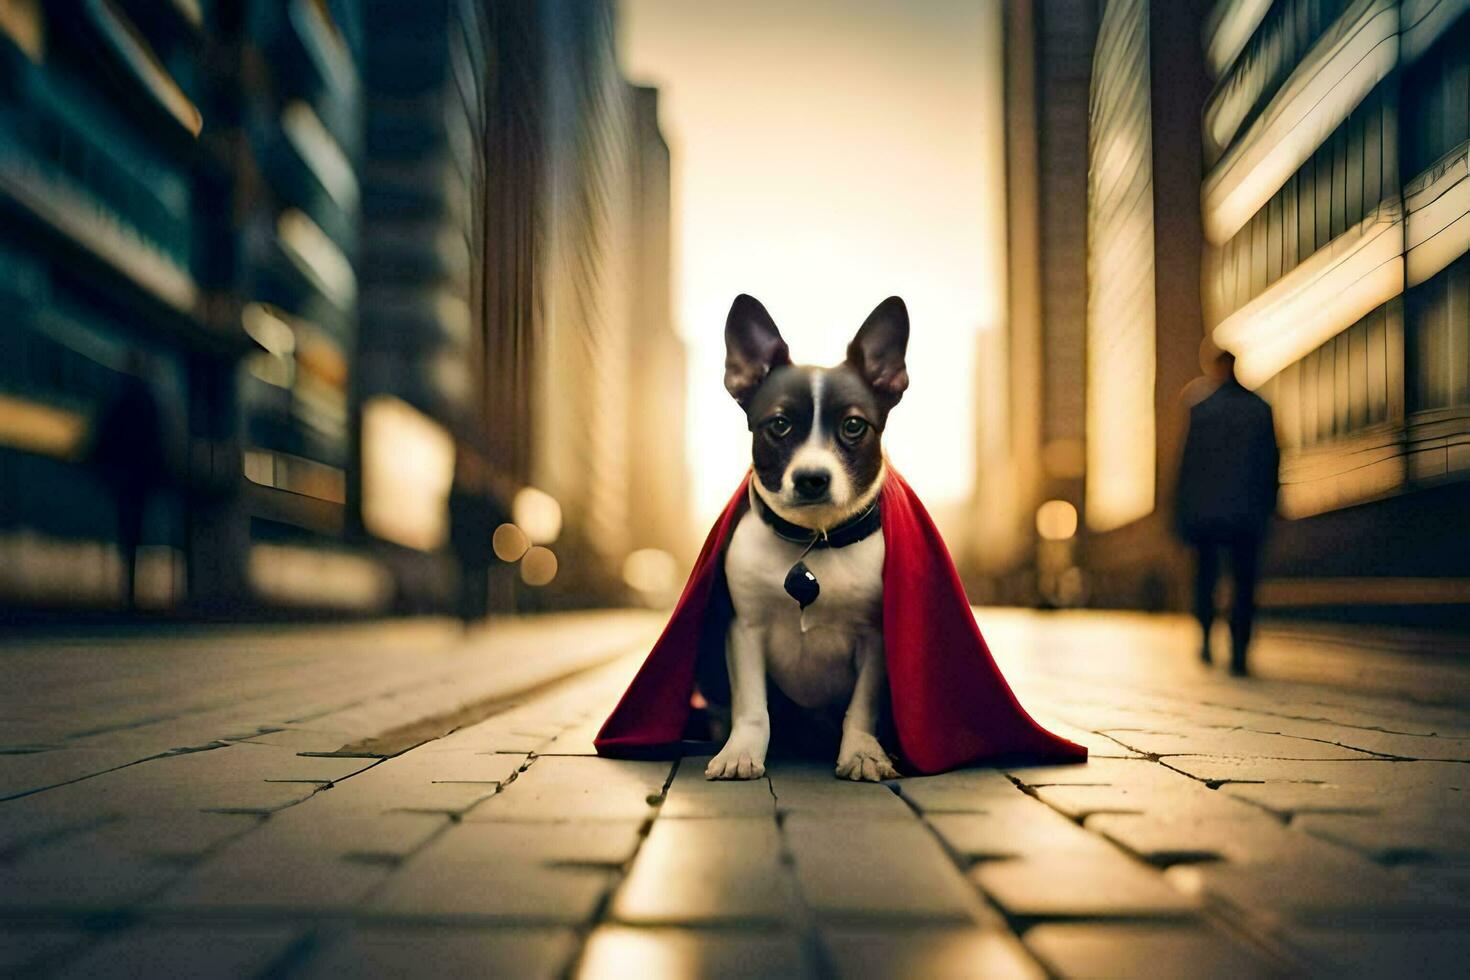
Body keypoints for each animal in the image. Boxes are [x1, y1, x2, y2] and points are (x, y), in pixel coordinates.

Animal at [702, 290, 905, 781]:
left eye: (853, 426)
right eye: (779, 425)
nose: (813, 477)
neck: (814, 539)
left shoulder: (874, 640)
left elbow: (862, 706)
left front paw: (862, 752)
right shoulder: (744, 630)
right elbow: (752, 705)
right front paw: (741, 752)